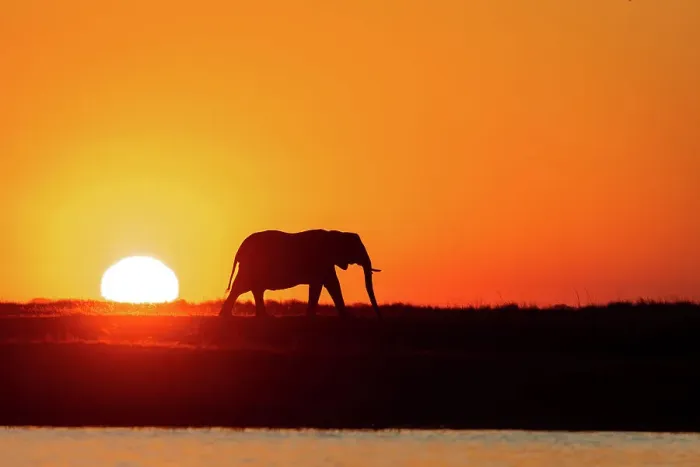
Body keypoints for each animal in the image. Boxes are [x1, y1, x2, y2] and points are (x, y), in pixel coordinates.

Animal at [219, 229, 382, 319]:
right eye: (356, 249)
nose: (379, 316)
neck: (336, 233)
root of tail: (240, 248)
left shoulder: (326, 262)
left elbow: (332, 284)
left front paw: (346, 317)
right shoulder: (320, 260)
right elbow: (320, 284)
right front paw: (310, 316)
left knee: (252, 289)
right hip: (251, 265)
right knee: (241, 287)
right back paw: (227, 316)